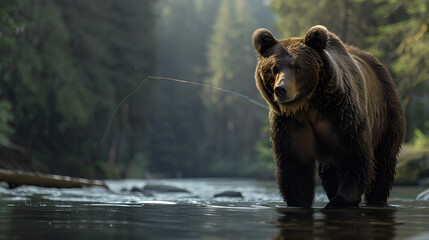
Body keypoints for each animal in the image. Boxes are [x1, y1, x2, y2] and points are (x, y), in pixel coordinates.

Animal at [252, 25, 402, 207]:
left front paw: (339, 201)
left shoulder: (342, 117)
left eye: (297, 67)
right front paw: (299, 200)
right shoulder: (291, 124)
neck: (309, 108)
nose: (281, 89)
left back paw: (377, 198)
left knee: (383, 163)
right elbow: (295, 165)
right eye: (274, 68)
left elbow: (356, 157)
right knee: (329, 172)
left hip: (386, 114)